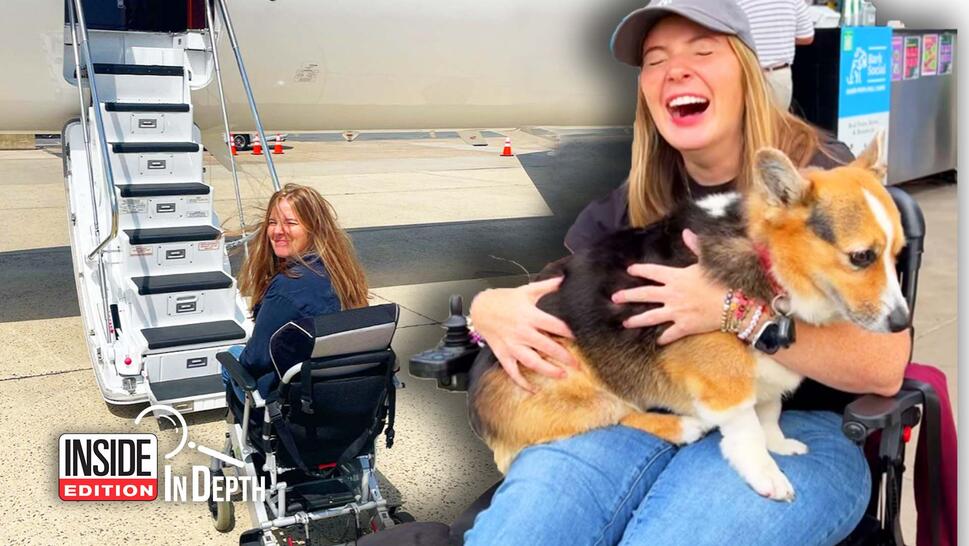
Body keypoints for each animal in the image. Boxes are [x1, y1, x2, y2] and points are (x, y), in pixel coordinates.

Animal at [468, 134, 908, 500]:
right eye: (861, 256)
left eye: (897, 253)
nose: (903, 324)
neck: (768, 262)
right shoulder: (725, 384)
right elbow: (748, 431)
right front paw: (766, 473)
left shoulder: (767, 380)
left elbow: (770, 414)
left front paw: (779, 444)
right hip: (568, 370)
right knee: (611, 413)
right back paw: (682, 426)